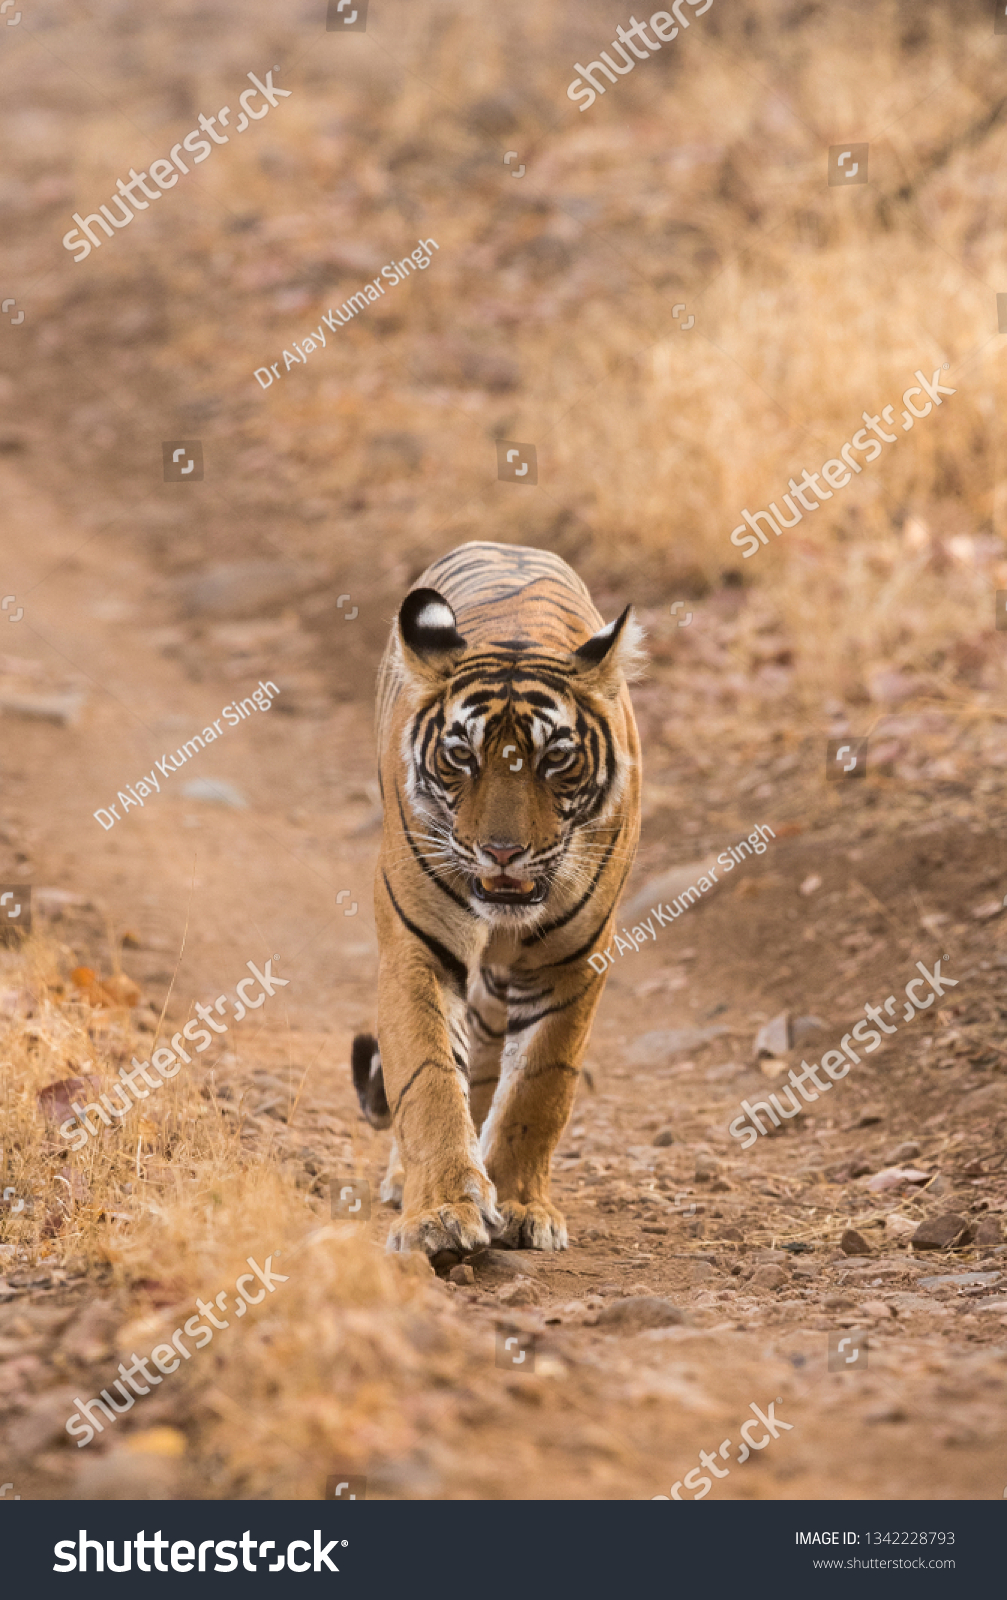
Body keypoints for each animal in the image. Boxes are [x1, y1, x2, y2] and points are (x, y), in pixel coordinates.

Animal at [349, 544, 640, 1254]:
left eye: (555, 758)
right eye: (461, 756)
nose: (502, 851)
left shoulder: (572, 964)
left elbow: (539, 1088)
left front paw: (518, 1205)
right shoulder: (417, 950)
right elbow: (426, 1077)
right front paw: (441, 1213)